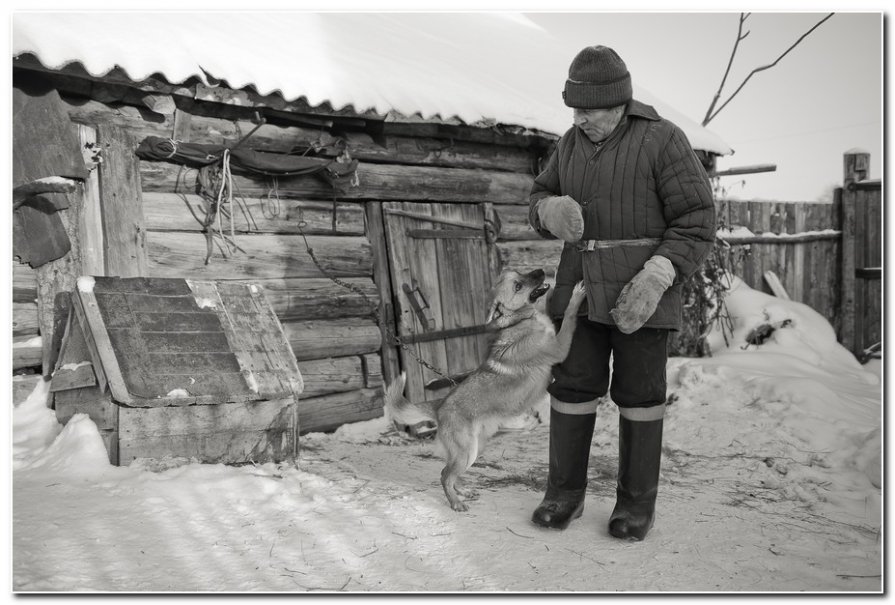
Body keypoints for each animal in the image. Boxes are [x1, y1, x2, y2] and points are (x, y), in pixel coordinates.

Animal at [384, 268, 588, 510]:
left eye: (520, 273)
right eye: (518, 285)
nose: (541, 271)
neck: (518, 321)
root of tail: (440, 405)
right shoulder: (560, 347)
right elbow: (569, 317)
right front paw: (576, 297)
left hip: (474, 450)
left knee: (448, 472)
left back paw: (463, 492)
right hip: (466, 451)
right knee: (445, 476)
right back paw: (456, 503)